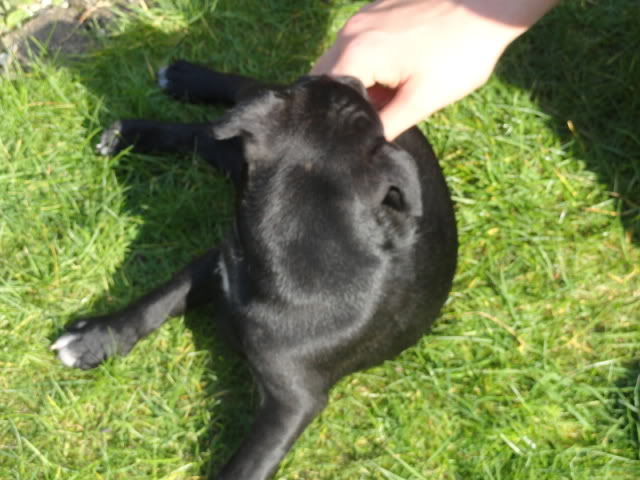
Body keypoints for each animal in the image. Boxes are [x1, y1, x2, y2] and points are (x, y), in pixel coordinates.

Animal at [52, 62, 458, 480]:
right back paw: (165, 96)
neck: (305, 232)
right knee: (222, 114)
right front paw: (97, 338)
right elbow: (160, 299)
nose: (351, 78)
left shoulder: (294, 401)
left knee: (212, 138)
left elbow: (248, 465)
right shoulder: (223, 260)